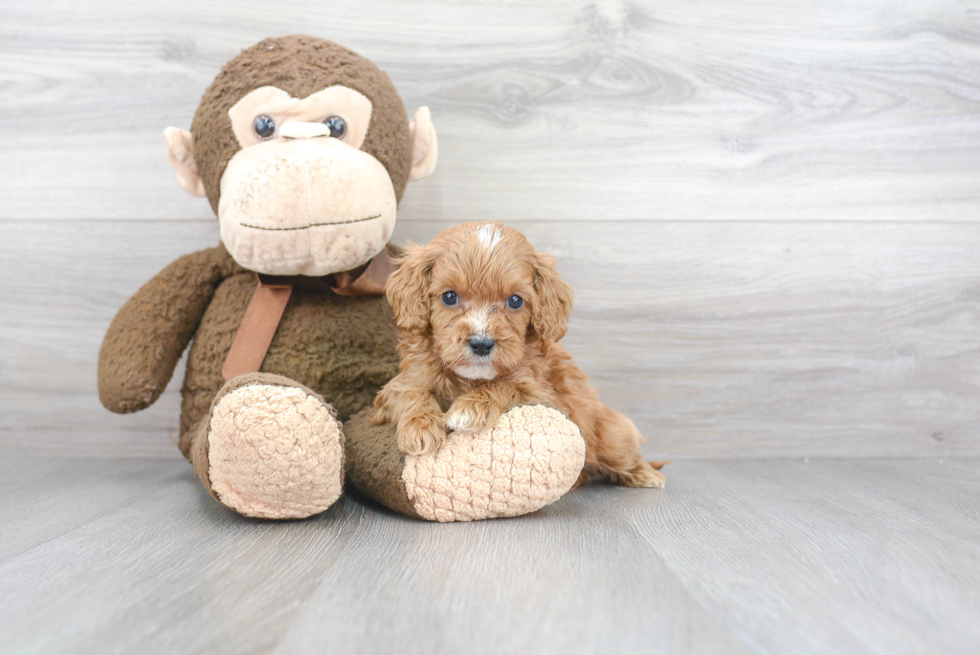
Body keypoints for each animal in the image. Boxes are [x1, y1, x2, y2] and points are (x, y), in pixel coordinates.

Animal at [374, 223, 668, 490]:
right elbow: (410, 393)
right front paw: (420, 428)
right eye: (449, 297)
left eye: (515, 301)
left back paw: (646, 475)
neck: (471, 378)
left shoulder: (542, 395)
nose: (481, 344)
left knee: (623, 450)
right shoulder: (399, 385)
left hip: (609, 433)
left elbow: (505, 385)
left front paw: (470, 408)